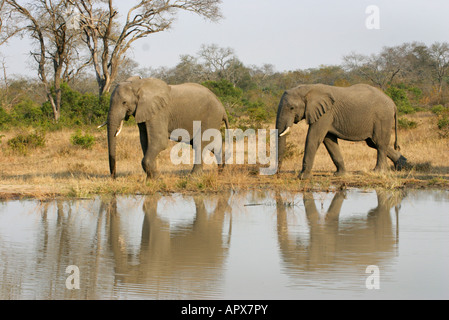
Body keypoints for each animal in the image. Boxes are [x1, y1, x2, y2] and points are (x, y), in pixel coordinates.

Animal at [100, 76, 229, 179]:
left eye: (124, 102)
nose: (113, 177)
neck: (138, 84)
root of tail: (222, 108)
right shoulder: (143, 112)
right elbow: (145, 141)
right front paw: (153, 177)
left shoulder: (159, 112)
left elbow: (159, 141)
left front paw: (156, 178)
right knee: (212, 144)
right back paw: (221, 172)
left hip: (210, 116)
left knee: (200, 143)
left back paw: (193, 176)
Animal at [274, 84, 408, 179]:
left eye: (292, 108)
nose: (278, 174)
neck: (307, 88)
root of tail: (393, 103)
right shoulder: (327, 115)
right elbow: (329, 141)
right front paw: (340, 175)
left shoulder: (326, 113)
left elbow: (313, 138)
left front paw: (302, 177)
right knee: (373, 142)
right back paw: (403, 165)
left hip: (382, 117)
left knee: (379, 143)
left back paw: (378, 171)